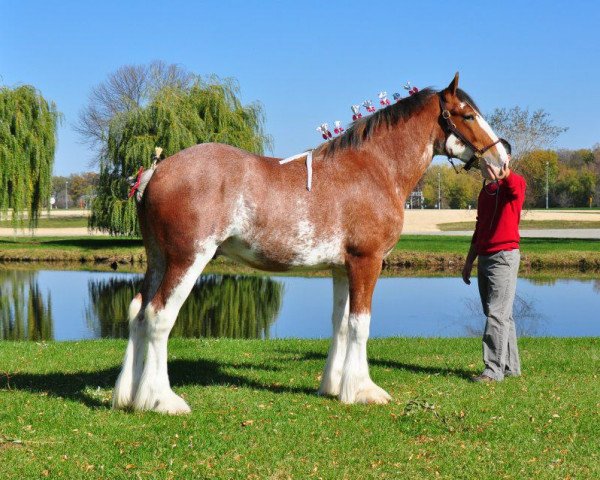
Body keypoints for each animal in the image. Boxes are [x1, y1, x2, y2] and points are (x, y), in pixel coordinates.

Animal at [111, 73, 506, 414]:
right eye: (468, 115)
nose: (503, 159)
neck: (374, 168)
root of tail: (156, 171)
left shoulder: (342, 269)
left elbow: (340, 324)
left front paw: (333, 386)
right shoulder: (367, 262)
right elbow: (360, 325)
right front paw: (363, 390)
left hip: (158, 260)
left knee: (137, 312)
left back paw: (129, 396)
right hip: (187, 260)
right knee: (159, 316)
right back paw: (161, 400)